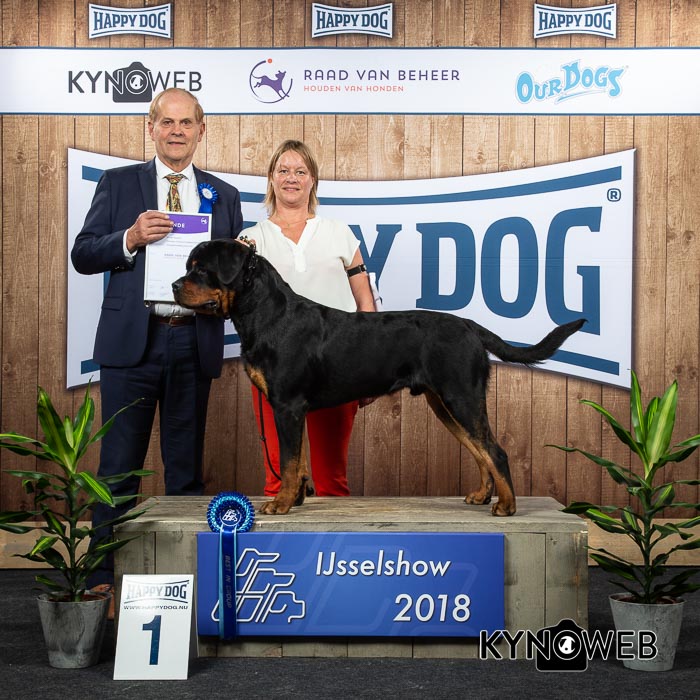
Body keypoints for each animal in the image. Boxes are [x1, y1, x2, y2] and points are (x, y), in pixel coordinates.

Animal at [172, 238, 584, 517]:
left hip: (461, 396)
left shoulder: (287, 404)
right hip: (445, 402)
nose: (175, 286)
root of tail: (469, 326)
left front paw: (281, 503)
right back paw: (483, 496)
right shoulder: (294, 409)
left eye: (201, 269)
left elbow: (289, 461)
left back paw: (507, 506)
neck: (266, 314)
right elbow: (299, 461)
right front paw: (297, 498)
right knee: (478, 448)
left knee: (495, 450)